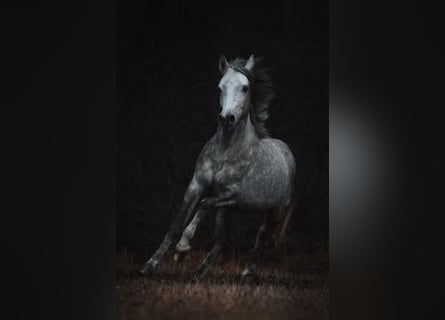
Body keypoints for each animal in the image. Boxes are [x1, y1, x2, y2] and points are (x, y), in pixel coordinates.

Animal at [138, 55, 298, 278]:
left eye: (245, 87)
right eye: (220, 87)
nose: (227, 119)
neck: (224, 151)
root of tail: (285, 150)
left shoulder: (231, 193)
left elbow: (204, 204)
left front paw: (182, 249)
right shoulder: (196, 187)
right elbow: (176, 225)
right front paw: (148, 267)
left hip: (273, 212)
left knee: (261, 238)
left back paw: (246, 273)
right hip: (227, 210)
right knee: (221, 240)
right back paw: (199, 272)